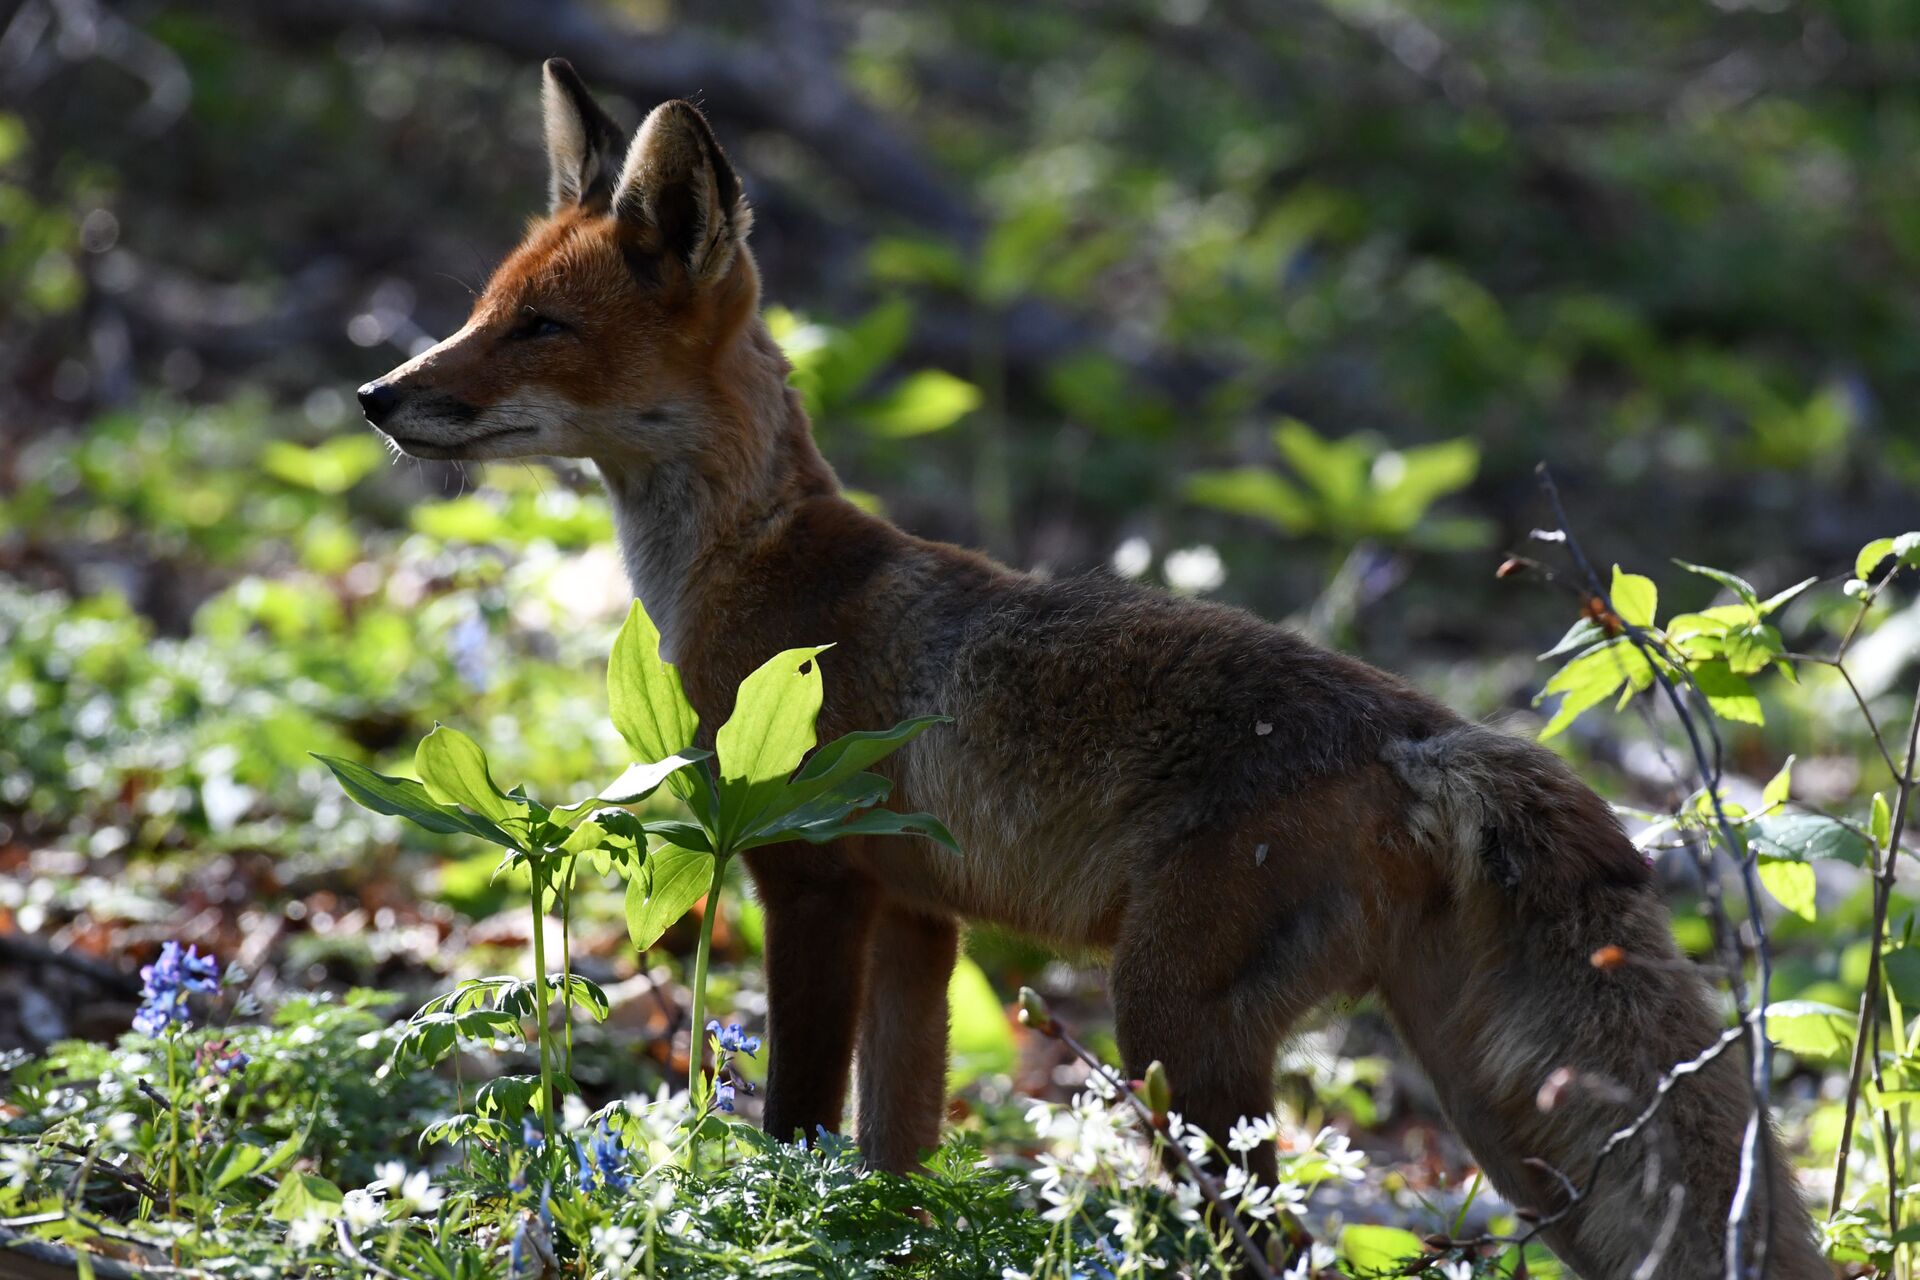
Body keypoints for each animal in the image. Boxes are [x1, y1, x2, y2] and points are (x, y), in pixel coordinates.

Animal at [360, 62, 1827, 1280]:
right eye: (485, 307)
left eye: (539, 327)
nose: (376, 393)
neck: (758, 566)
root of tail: (1433, 736)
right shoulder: (917, 917)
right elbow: (889, 1161)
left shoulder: (811, 880)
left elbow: (791, 1132)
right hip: (1494, 1116)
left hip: (1172, 1025)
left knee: (1279, 1245)